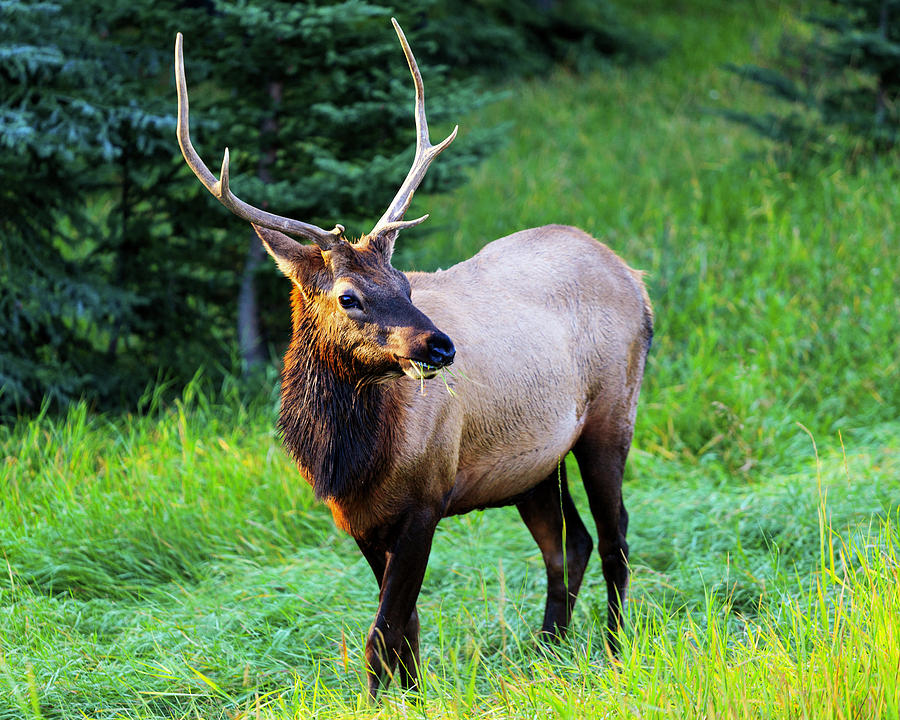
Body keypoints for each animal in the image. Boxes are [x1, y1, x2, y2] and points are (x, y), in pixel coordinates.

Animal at [176, 19, 652, 700]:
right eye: (349, 295)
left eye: (404, 283)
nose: (442, 346)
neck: (349, 456)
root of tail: (634, 277)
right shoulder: (358, 518)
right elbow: (407, 627)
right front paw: (410, 693)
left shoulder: (428, 496)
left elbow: (384, 631)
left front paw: (386, 699)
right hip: (535, 462)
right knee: (569, 544)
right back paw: (547, 655)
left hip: (612, 414)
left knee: (615, 540)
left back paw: (614, 654)